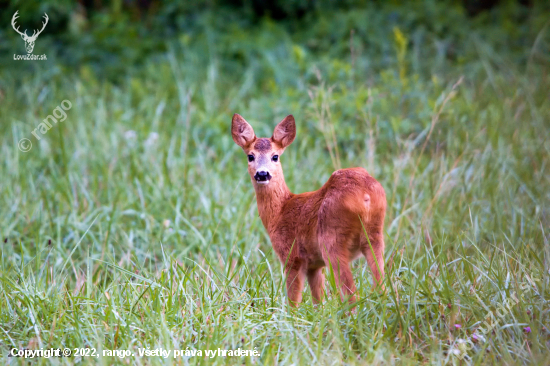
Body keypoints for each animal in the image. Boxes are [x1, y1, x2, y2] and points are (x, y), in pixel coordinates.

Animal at [233, 114, 388, 306]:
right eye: (250, 156)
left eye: (275, 156)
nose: (262, 174)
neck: (280, 212)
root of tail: (366, 196)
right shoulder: (314, 265)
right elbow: (318, 300)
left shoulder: (292, 256)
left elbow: (294, 300)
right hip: (375, 236)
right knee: (382, 286)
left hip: (332, 240)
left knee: (351, 294)